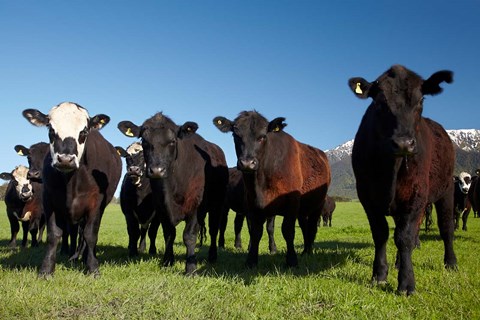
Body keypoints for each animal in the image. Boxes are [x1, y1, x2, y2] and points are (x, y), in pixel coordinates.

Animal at [22, 102, 122, 278]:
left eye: (84, 131)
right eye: (51, 129)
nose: (65, 159)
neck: (71, 183)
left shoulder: (95, 204)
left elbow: (90, 235)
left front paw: (92, 267)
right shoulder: (50, 201)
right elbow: (54, 235)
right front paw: (46, 269)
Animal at [117, 112, 228, 276]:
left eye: (172, 141)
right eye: (144, 141)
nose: (157, 170)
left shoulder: (195, 207)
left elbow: (189, 236)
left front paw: (190, 269)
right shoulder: (162, 209)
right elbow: (169, 233)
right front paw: (167, 261)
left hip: (217, 206)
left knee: (214, 230)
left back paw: (212, 256)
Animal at [213, 111, 330, 268]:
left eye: (263, 136)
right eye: (236, 135)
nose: (247, 163)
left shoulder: (292, 202)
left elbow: (287, 230)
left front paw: (291, 260)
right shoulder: (253, 204)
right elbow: (256, 231)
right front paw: (251, 260)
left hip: (317, 204)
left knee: (311, 227)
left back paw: (308, 252)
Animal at [348, 65, 458, 296]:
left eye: (421, 100)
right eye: (379, 102)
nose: (403, 143)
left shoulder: (415, 194)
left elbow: (404, 237)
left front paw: (407, 283)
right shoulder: (366, 196)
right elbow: (381, 233)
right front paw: (379, 274)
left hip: (446, 191)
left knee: (445, 228)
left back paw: (451, 262)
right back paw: (399, 262)